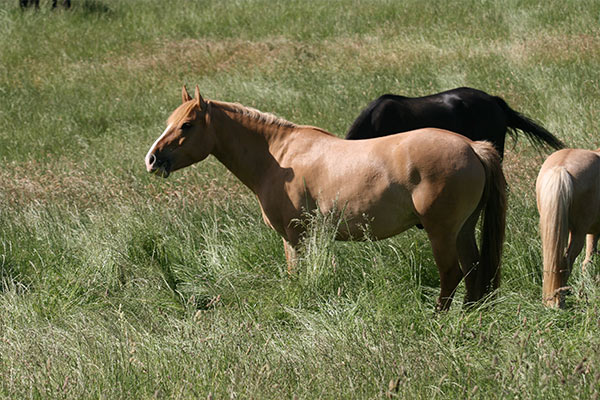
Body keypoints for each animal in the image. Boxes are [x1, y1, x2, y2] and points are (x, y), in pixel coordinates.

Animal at [145, 87, 506, 310]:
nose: (152, 159)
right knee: (474, 271)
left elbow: (297, 276)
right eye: (169, 122)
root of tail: (473, 147)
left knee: (452, 274)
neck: (279, 157)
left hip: (441, 232)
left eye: (187, 125)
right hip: (463, 230)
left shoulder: (295, 236)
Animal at [536, 148, 600, 308]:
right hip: (578, 233)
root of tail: (561, 168)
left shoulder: (593, 232)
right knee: (566, 263)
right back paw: (560, 303)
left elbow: (588, 260)